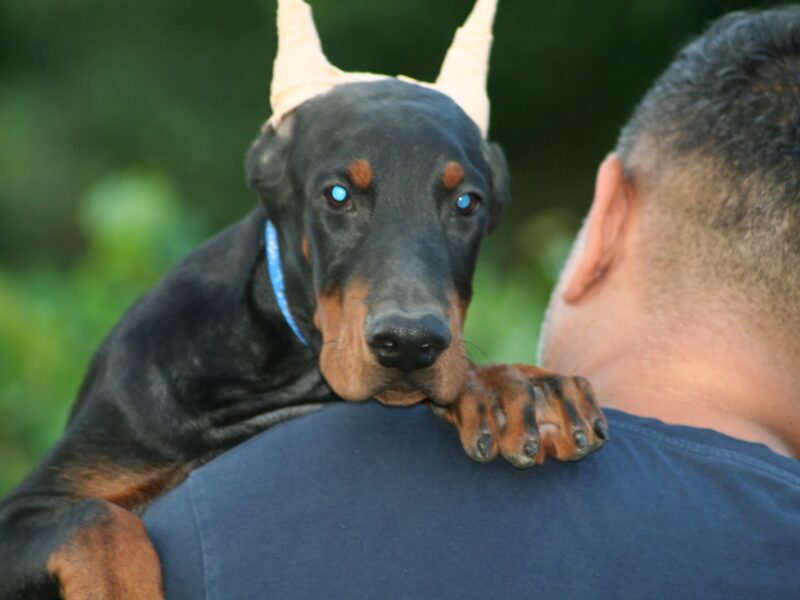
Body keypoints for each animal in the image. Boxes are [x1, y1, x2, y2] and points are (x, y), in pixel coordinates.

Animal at [0, 7, 604, 600]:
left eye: (467, 202)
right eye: (337, 195)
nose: (409, 345)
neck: (278, 371)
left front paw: (512, 386)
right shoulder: (39, 500)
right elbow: (98, 520)